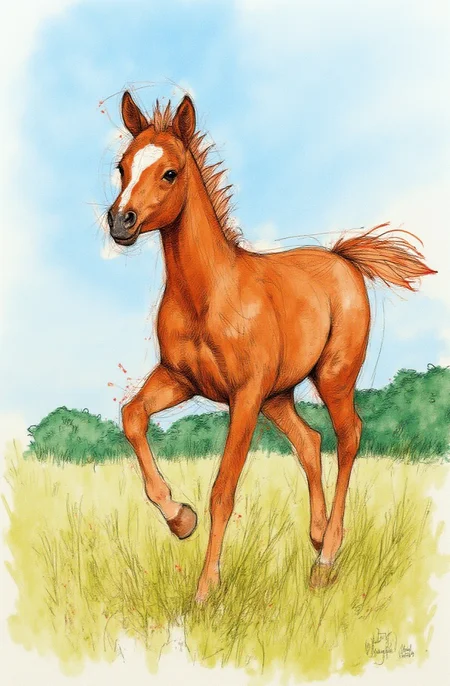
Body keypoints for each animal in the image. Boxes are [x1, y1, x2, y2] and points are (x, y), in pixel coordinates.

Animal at [106, 91, 436, 601]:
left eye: (169, 172)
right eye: (122, 167)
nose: (121, 221)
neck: (208, 293)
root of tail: (342, 258)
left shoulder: (243, 396)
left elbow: (223, 489)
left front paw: (205, 591)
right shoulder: (180, 380)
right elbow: (132, 416)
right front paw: (180, 519)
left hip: (332, 378)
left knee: (348, 437)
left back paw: (325, 558)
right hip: (278, 396)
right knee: (310, 441)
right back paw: (316, 535)